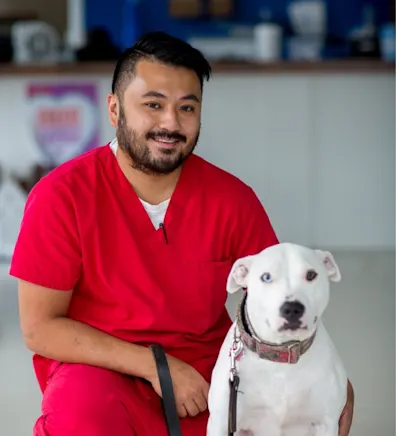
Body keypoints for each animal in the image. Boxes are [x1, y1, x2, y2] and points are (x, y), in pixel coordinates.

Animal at [207, 242, 346, 436]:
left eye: (311, 275)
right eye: (266, 277)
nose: (292, 308)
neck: (280, 358)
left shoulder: (326, 423)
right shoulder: (221, 423)